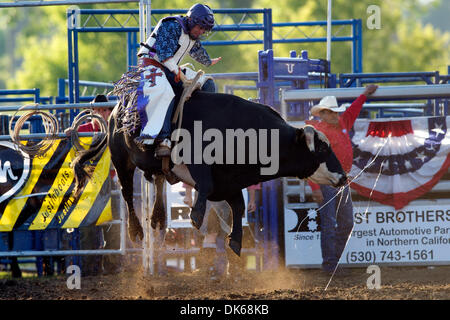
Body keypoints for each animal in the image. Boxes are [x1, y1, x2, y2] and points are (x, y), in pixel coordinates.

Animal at [71, 89, 348, 256]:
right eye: (323, 148)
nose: (344, 177)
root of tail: (118, 107)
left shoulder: (231, 181)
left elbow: (237, 206)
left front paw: (235, 240)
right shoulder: (199, 161)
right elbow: (205, 185)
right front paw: (196, 215)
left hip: (155, 166)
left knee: (158, 181)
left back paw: (158, 218)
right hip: (121, 157)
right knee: (127, 192)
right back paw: (136, 230)